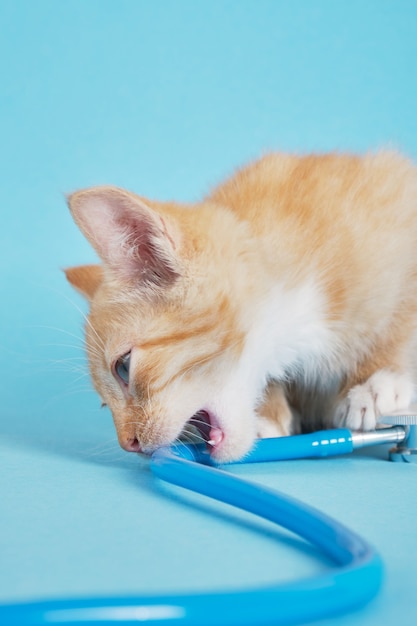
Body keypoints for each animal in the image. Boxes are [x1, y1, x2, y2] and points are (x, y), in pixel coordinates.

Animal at [64, 152, 416, 460]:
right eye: (103, 405)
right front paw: (267, 414)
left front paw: (377, 380)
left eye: (123, 367)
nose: (129, 444)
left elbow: (402, 311)